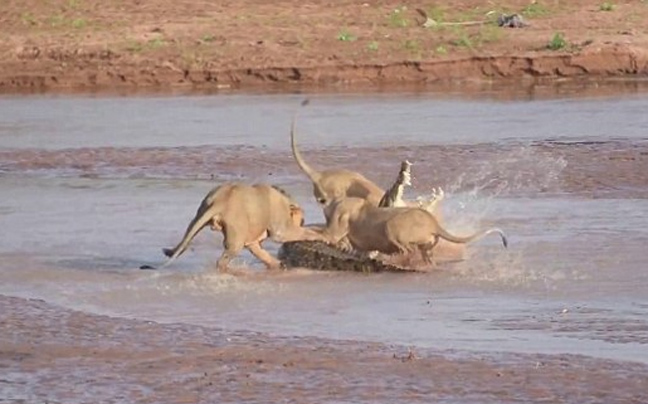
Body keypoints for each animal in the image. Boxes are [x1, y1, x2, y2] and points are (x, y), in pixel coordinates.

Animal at [160, 183, 326, 272]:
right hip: (236, 237)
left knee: (186, 239)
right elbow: (303, 232)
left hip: (199, 215)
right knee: (222, 261)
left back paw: (170, 251)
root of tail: (221, 201)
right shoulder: (281, 229)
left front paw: (278, 265)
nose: (302, 222)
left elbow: (261, 253)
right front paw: (323, 236)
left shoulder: (252, 241)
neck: (286, 200)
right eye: (302, 221)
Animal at [322, 197, 508, 266]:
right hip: (425, 245)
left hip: (392, 225)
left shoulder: (337, 227)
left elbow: (328, 235)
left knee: (407, 250)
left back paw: (392, 259)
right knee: (424, 255)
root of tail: (433, 223)